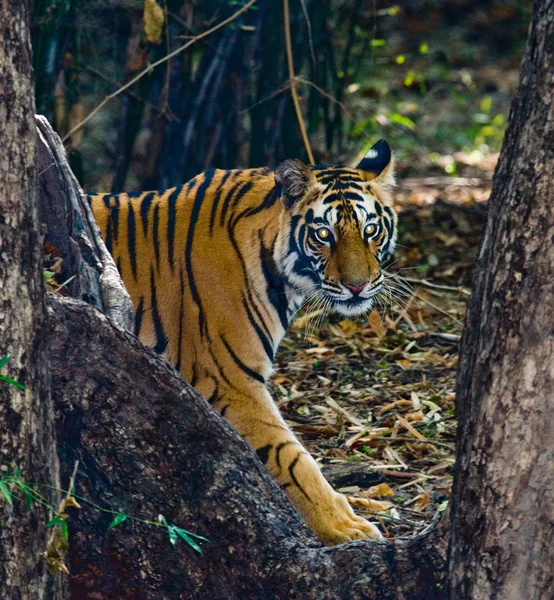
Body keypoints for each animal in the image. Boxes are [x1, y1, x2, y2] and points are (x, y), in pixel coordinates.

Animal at [88, 139, 394, 544]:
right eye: (324, 234)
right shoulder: (231, 382)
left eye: (371, 229)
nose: (358, 286)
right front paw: (344, 526)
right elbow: (293, 458)